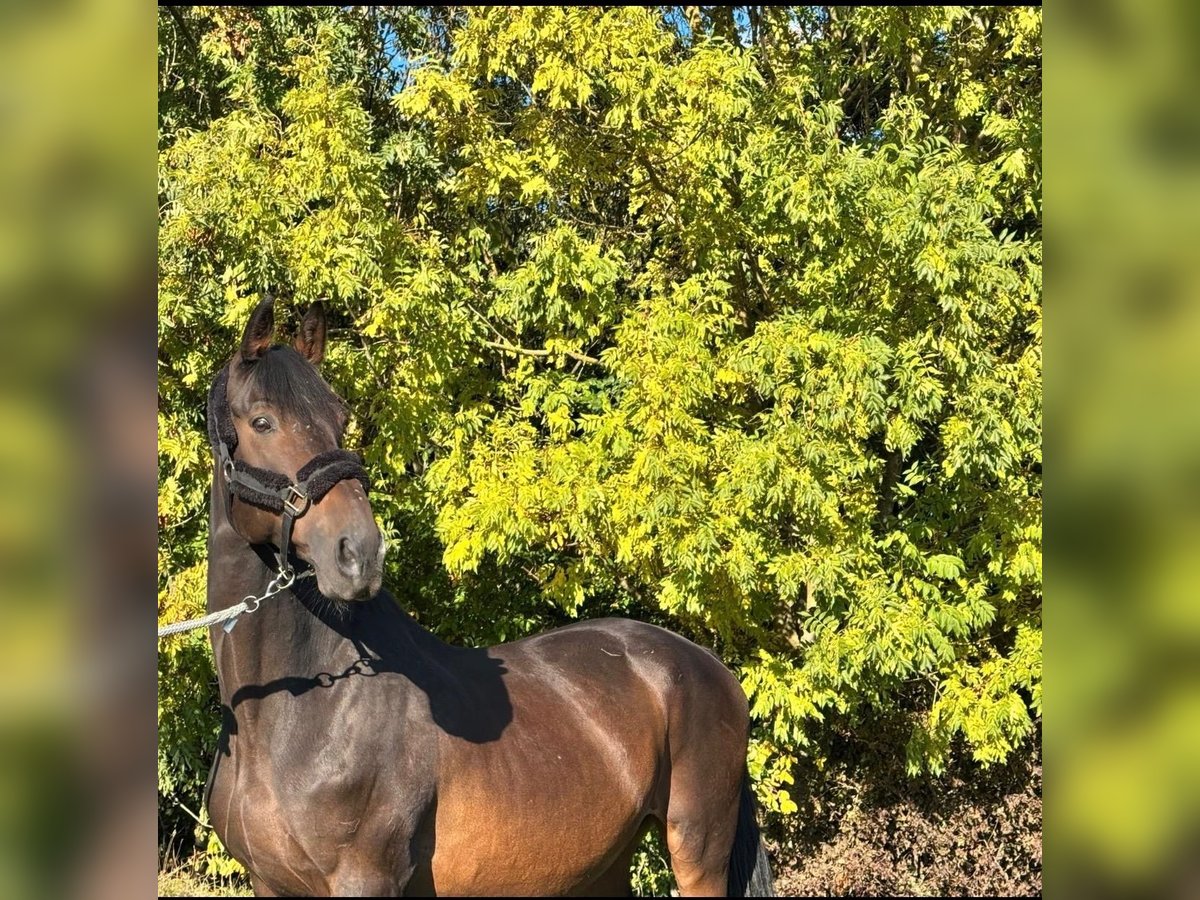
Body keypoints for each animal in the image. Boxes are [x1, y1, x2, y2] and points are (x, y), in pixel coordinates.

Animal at [200, 295, 775, 896]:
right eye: (262, 421)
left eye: (342, 419)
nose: (358, 553)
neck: (294, 713)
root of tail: (708, 664)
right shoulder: (269, 884)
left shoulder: (366, 878)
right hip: (606, 863)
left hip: (697, 849)